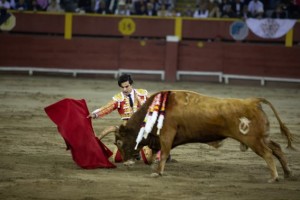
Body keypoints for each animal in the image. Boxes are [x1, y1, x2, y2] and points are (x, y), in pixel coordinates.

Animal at [113, 90, 294, 183]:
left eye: (119, 142)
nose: (125, 162)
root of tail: (253, 101)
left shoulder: (167, 134)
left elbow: (164, 153)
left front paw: (158, 172)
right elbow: (156, 153)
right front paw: (153, 167)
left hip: (253, 140)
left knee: (267, 153)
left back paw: (274, 177)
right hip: (262, 137)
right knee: (277, 148)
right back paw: (287, 173)